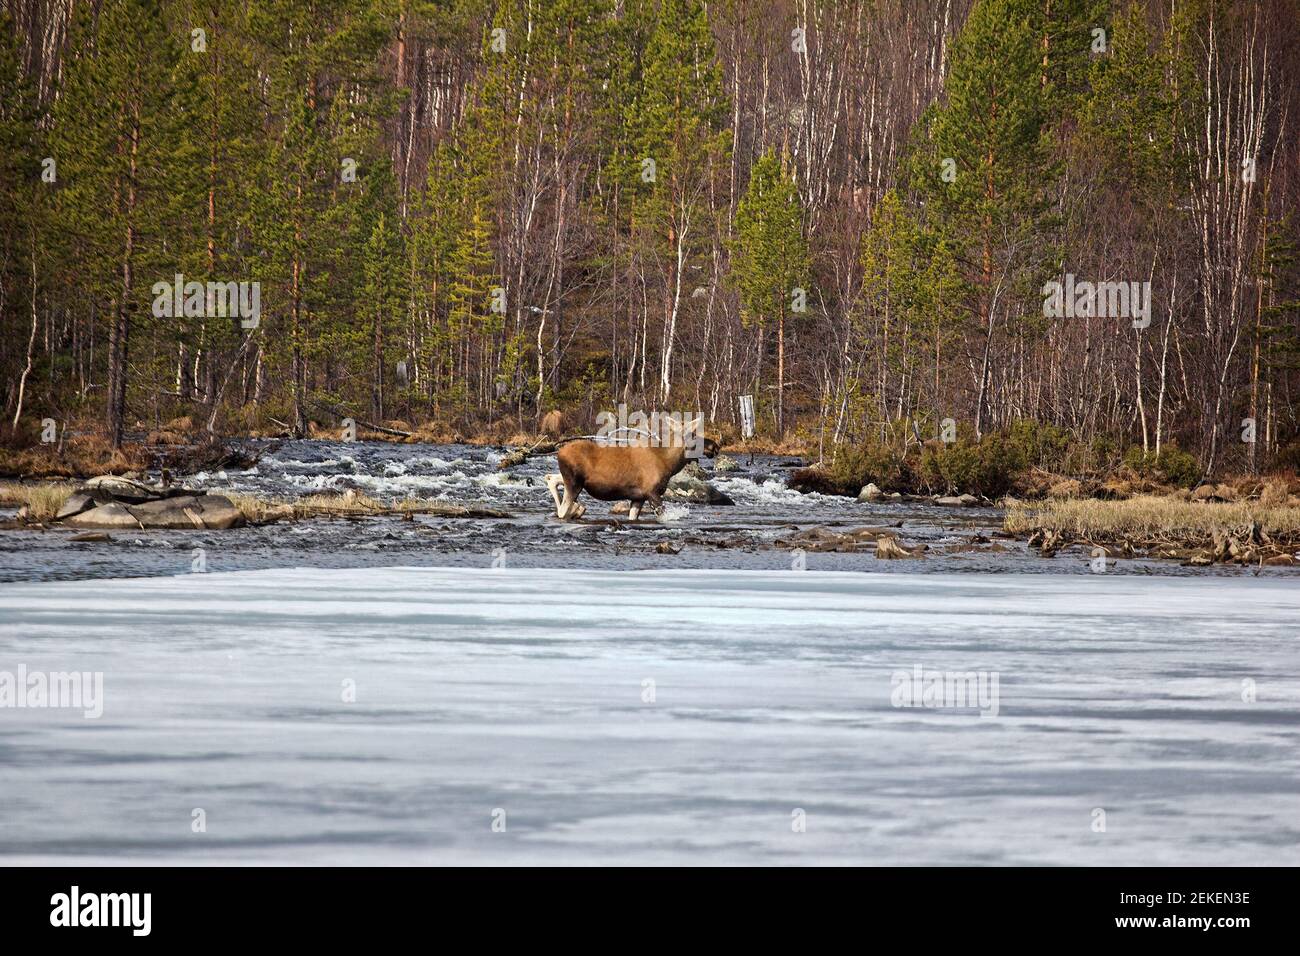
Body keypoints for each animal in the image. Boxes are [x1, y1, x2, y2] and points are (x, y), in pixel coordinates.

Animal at [540, 416, 717, 522]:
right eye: (693, 435)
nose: (714, 446)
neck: (669, 464)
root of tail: (559, 452)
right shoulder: (652, 493)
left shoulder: (638, 497)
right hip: (574, 482)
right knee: (563, 509)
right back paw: (576, 509)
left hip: (572, 480)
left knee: (551, 478)